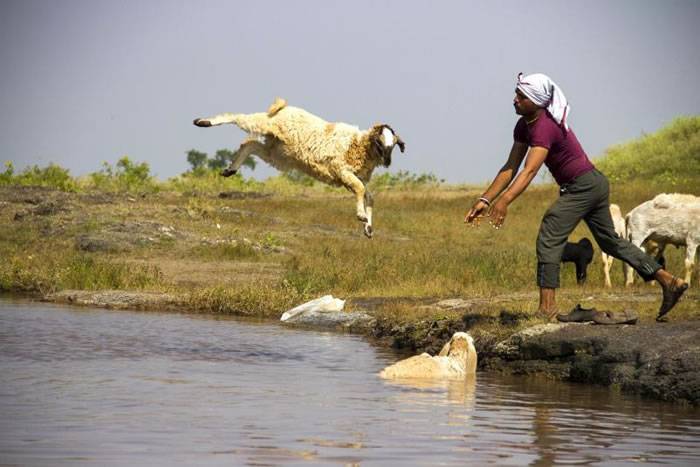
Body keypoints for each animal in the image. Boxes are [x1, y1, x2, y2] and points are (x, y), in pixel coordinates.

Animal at [194, 98, 408, 238]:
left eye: (393, 144)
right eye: (379, 142)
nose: (387, 161)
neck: (358, 145)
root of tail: (284, 108)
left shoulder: (351, 176)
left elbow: (369, 196)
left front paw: (368, 228)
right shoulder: (342, 171)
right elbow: (361, 190)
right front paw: (362, 217)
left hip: (279, 152)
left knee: (250, 144)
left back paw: (230, 169)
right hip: (268, 126)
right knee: (239, 118)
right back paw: (202, 122)